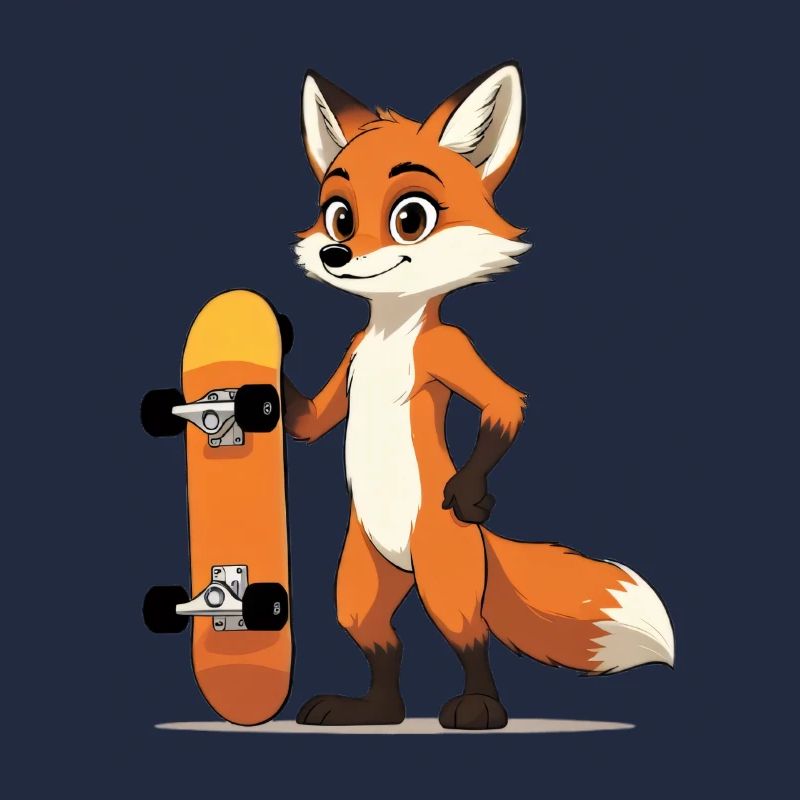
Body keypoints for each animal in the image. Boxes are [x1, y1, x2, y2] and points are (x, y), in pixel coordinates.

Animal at [283, 62, 674, 730]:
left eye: (410, 218)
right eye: (339, 216)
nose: (337, 253)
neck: (389, 331)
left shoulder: (449, 350)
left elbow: (504, 404)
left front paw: (467, 491)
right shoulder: (352, 353)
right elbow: (309, 422)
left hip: (445, 572)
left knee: (469, 636)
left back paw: (479, 706)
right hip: (363, 578)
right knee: (376, 636)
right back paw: (373, 710)